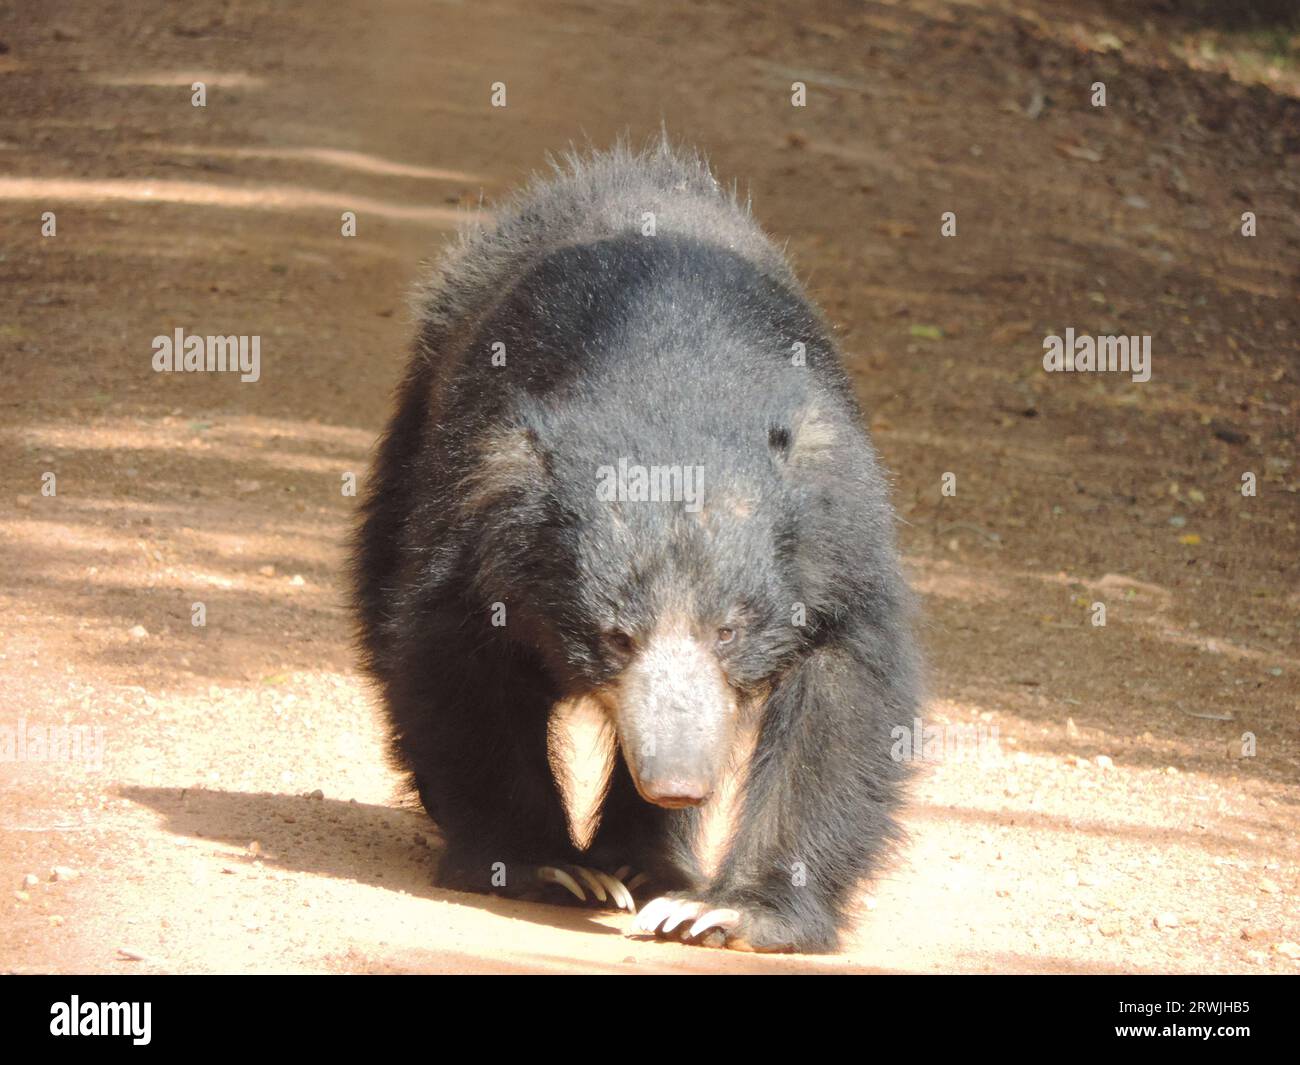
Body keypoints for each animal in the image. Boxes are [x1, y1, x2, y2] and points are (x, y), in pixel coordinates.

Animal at [351, 139, 920, 953]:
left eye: (729, 631)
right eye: (615, 637)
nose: (678, 780)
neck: (668, 390)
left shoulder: (837, 530)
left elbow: (844, 698)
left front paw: (726, 912)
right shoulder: (477, 504)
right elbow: (456, 659)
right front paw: (549, 867)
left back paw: (650, 868)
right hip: (415, 421)